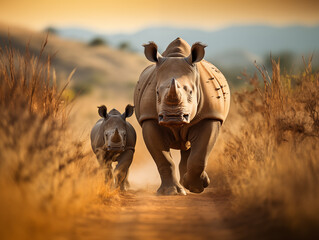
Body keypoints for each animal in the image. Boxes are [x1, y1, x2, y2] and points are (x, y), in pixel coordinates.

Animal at [134, 37, 230, 195]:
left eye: (191, 92)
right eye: (157, 92)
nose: (173, 117)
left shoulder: (210, 116)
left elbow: (200, 156)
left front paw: (195, 187)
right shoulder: (149, 118)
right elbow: (164, 160)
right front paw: (171, 192)